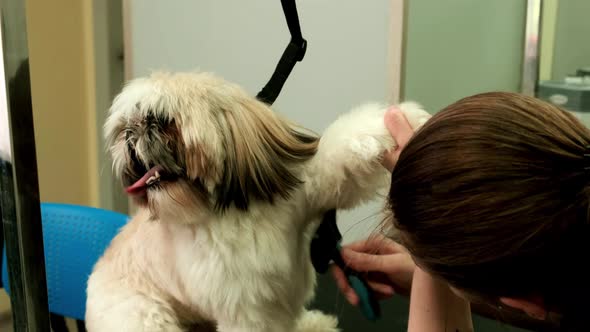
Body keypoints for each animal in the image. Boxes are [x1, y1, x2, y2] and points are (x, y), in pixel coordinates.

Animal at [84, 70, 430, 332]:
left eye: (160, 119)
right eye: (124, 127)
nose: (131, 134)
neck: (235, 210)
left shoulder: (306, 191)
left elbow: (339, 154)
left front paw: (403, 120)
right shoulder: (247, 309)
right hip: (141, 314)